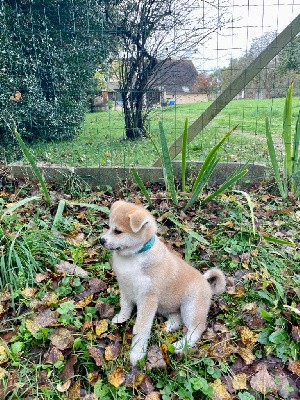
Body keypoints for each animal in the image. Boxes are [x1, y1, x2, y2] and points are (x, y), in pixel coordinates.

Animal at [100, 200, 225, 366]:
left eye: (118, 231)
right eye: (109, 227)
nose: (101, 240)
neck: (134, 257)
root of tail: (208, 285)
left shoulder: (148, 298)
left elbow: (141, 328)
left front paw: (137, 353)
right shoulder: (125, 288)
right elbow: (125, 306)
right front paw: (121, 317)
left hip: (190, 307)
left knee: (195, 330)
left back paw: (179, 346)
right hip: (166, 306)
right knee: (177, 319)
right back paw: (168, 326)